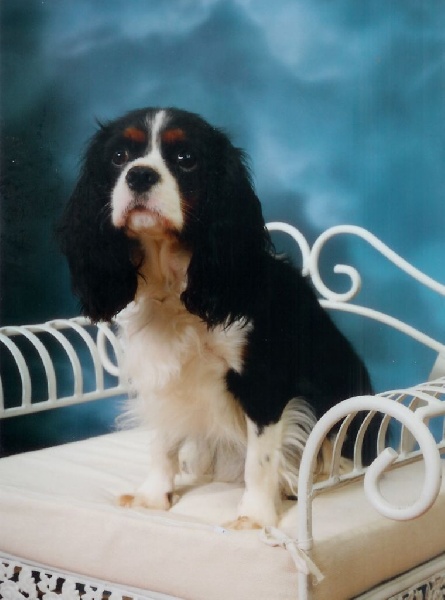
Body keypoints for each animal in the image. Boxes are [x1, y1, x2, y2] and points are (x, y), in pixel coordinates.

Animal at [59, 107, 378, 528]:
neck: (175, 288)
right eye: (119, 157)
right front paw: (154, 497)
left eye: (186, 159)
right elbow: (163, 440)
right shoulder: (162, 372)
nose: (139, 174)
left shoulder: (263, 381)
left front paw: (255, 517)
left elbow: (260, 459)